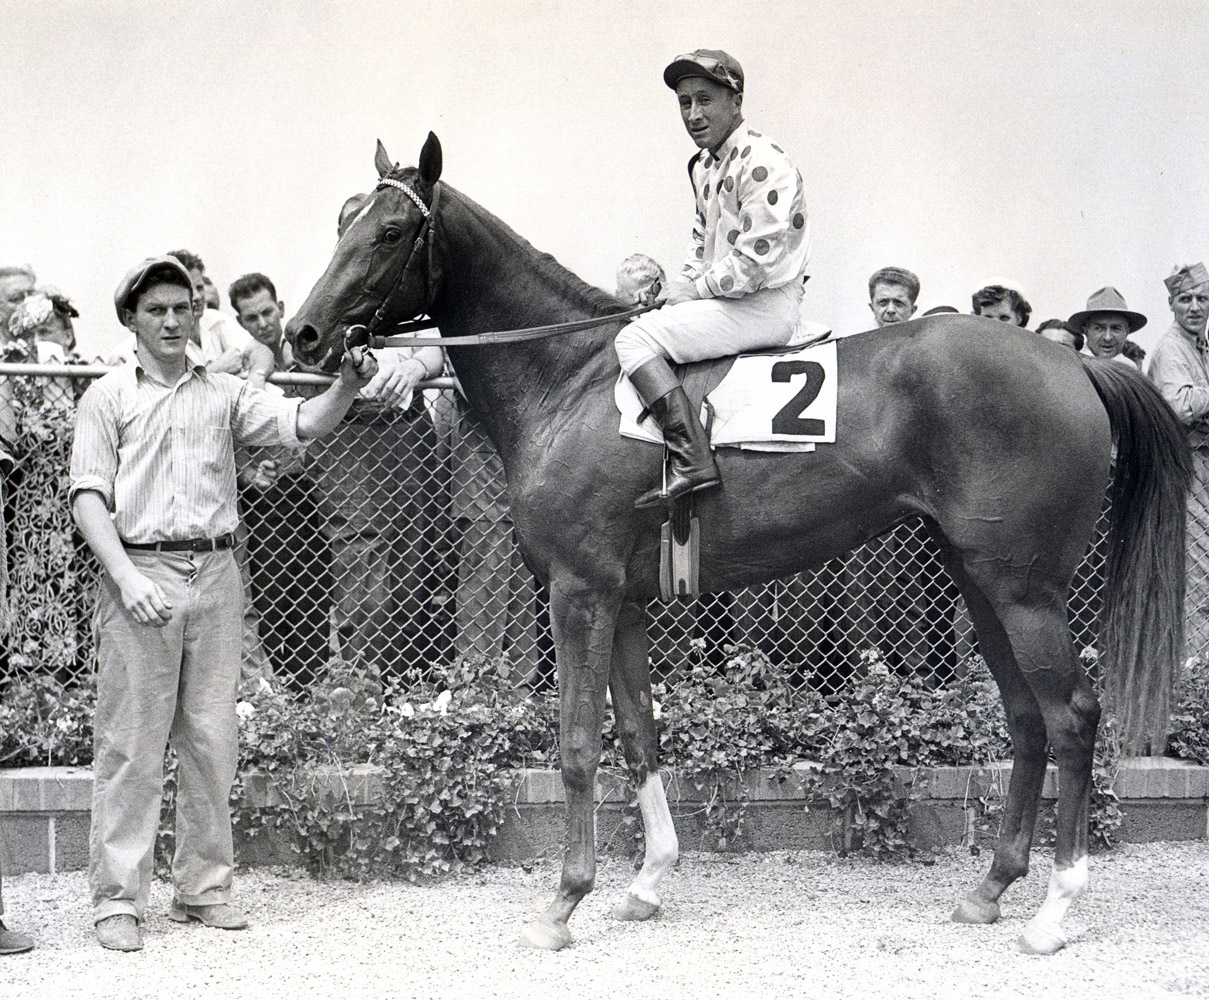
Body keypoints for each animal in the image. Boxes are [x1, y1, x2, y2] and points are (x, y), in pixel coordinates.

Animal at [285, 133, 1189, 952]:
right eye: (342, 223)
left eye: (389, 232)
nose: (302, 334)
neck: (571, 378)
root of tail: (1074, 367)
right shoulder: (624, 601)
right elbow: (639, 734)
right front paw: (646, 883)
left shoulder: (578, 590)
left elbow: (577, 745)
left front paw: (564, 902)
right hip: (979, 577)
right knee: (1026, 718)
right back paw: (991, 888)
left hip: (1022, 587)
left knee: (1072, 717)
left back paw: (1053, 912)